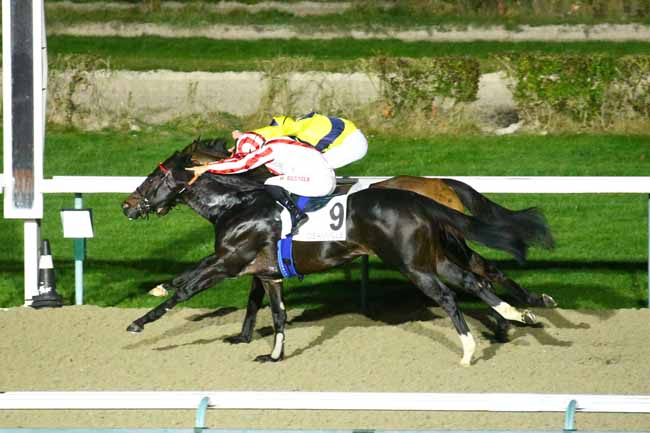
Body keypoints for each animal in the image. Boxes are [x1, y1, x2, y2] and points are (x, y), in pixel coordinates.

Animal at [121, 140, 553, 365]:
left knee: (455, 291)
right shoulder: (267, 272)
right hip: (434, 256)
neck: (237, 204)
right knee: (473, 279)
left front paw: (142, 318)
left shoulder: (228, 261)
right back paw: (516, 314)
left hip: (413, 263)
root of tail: (427, 194)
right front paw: (269, 354)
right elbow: (275, 313)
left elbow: (185, 287)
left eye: (154, 177)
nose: (127, 206)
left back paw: (473, 345)